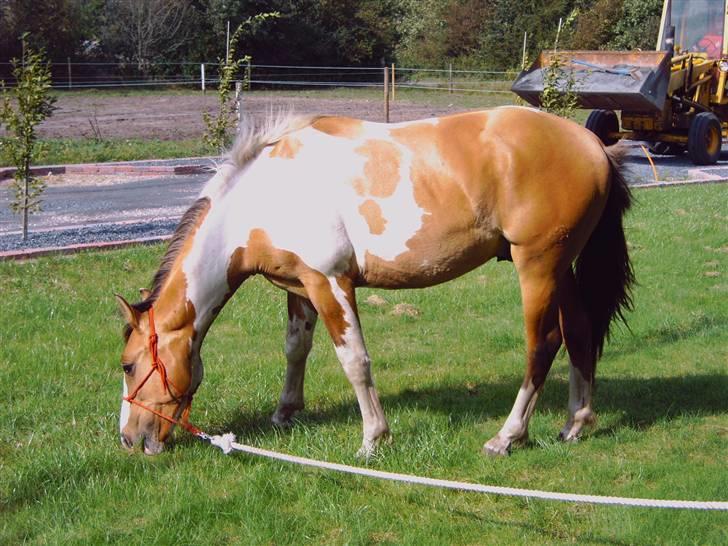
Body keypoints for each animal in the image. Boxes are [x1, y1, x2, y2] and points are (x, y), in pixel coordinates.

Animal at [114, 105, 632, 454]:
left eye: (128, 365)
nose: (130, 439)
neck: (262, 197)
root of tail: (593, 145)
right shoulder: (301, 287)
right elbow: (295, 348)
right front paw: (285, 412)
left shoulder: (330, 284)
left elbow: (354, 360)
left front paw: (373, 438)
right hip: (561, 268)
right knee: (580, 332)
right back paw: (576, 424)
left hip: (537, 266)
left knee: (542, 346)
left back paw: (507, 436)